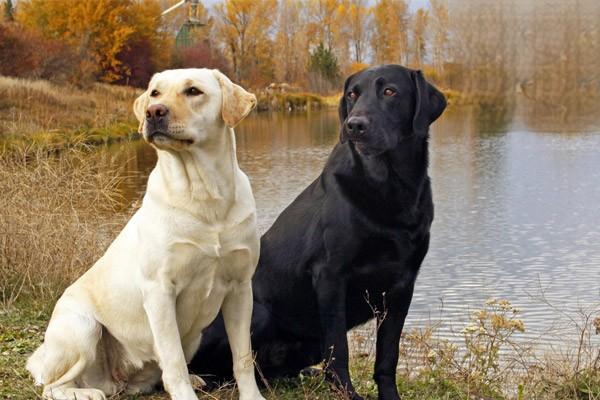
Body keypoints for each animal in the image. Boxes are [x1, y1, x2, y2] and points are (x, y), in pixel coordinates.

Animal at [25, 69, 264, 400]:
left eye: (193, 91)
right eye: (155, 93)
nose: (153, 112)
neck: (204, 195)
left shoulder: (241, 287)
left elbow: (242, 357)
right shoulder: (159, 290)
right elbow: (173, 359)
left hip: (192, 337)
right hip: (82, 327)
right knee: (52, 386)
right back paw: (86, 393)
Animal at [190, 64, 448, 398]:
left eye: (390, 91)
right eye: (352, 94)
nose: (354, 126)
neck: (388, 187)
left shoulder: (403, 285)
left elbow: (388, 354)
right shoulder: (330, 276)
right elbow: (339, 349)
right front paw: (348, 394)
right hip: (255, 315)